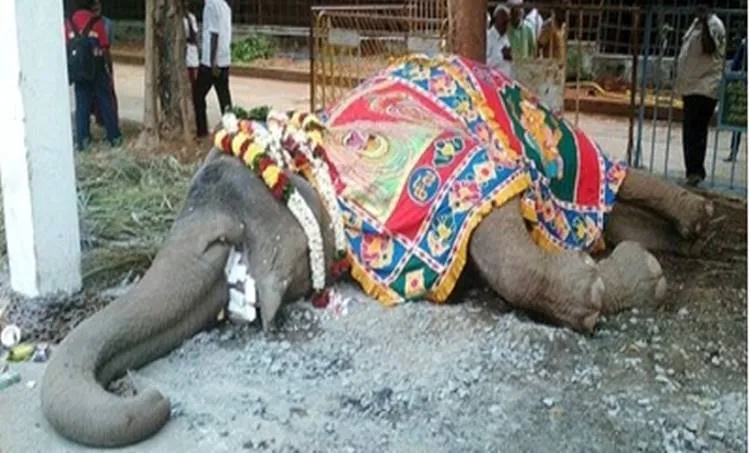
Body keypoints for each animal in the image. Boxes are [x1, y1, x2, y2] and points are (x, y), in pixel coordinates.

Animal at [40, 54, 715, 448]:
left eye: (220, 241)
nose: (146, 394)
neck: (314, 162)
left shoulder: (426, 158)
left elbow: (494, 211)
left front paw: (632, 280)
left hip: (533, 119)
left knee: (594, 167)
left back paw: (693, 221)